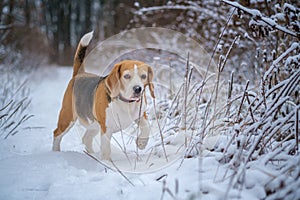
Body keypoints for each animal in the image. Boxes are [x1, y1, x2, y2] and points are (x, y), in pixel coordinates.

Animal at [52, 30, 155, 159]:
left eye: (143, 76)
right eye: (126, 76)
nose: (138, 89)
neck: (125, 102)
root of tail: (80, 74)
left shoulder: (140, 115)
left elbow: (147, 127)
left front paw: (141, 143)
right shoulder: (106, 128)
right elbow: (106, 149)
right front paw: (107, 161)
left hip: (93, 124)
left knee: (86, 138)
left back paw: (92, 155)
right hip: (67, 117)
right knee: (56, 133)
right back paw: (55, 152)